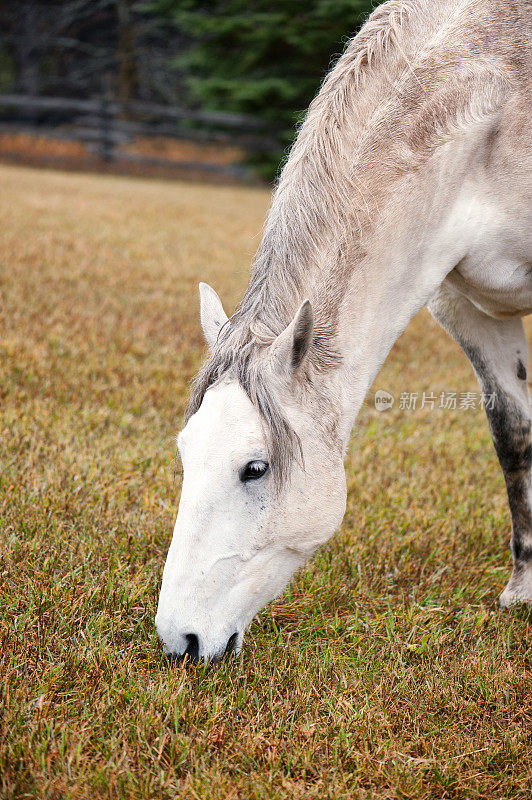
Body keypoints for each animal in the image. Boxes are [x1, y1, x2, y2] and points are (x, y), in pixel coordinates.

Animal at [155, 0, 532, 664]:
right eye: (185, 451)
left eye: (256, 468)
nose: (180, 641)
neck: (496, 101)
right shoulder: (472, 311)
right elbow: (514, 435)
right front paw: (524, 587)